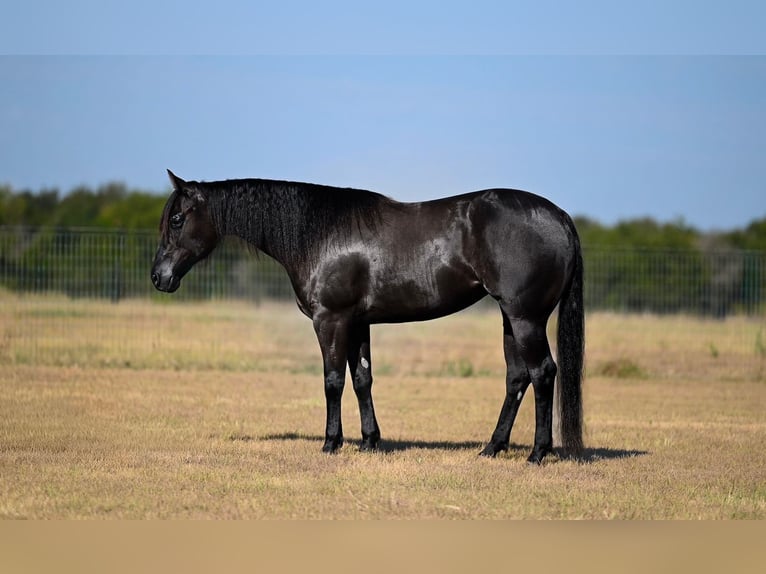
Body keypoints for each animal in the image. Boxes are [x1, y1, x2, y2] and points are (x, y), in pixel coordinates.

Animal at [151, 170, 584, 463]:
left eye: (177, 219)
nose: (158, 277)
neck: (317, 233)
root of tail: (560, 216)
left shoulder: (330, 320)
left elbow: (332, 382)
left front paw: (331, 443)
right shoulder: (358, 323)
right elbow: (362, 379)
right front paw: (370, 441)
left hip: (526, 318)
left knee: (543, 372)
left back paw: (537, 453)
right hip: (510, 319)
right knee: (517, 378)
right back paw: (492, 448)